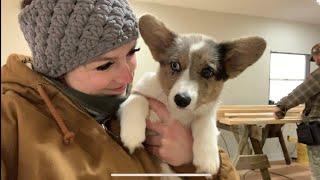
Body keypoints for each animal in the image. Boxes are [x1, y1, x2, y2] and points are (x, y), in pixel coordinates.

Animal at [119, 14, 266, 178]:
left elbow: (205, 122)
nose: (181, 100)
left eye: (207, 71)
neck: (177, 112)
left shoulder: (207, 112)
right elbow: (138, 99)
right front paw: (132, 135)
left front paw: (208, 160)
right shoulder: (139, 90)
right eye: (174, 65)